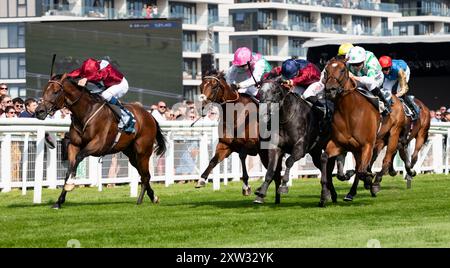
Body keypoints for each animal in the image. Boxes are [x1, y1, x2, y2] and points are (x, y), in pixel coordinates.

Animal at [34, 74, 165, 209]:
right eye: (44, 91)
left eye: (55, 92)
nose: (39, 111)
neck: (86, 112)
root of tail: (149, 115)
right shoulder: (74, 145)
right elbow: (69, 169)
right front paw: (59, 201)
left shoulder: (98, 144)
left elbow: (79, 157)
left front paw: (70, 184)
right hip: (131, 154)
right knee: (143, 174)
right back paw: (153, 197)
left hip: (143, 151)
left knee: (146, 175)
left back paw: (139, 200)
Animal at [196, 70, 284, 204]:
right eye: (201, 86)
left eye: (214, 86)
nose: (203, 107)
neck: (236, 115)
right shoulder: (225, 146)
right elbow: (213, 160)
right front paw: (201, 180)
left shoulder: (247, 145)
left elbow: (242, 158)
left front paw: (246, 187)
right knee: (276, 173)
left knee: (275, 172)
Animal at [320, 57, 380, 206]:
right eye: (326, 70)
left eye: (342, 70)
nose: (330, 89)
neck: (349, 112)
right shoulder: (339, 144)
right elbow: (324, 158)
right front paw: (324, 195)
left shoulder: (367, 145)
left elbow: (362, 171)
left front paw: (368, 180)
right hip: (355, 150)